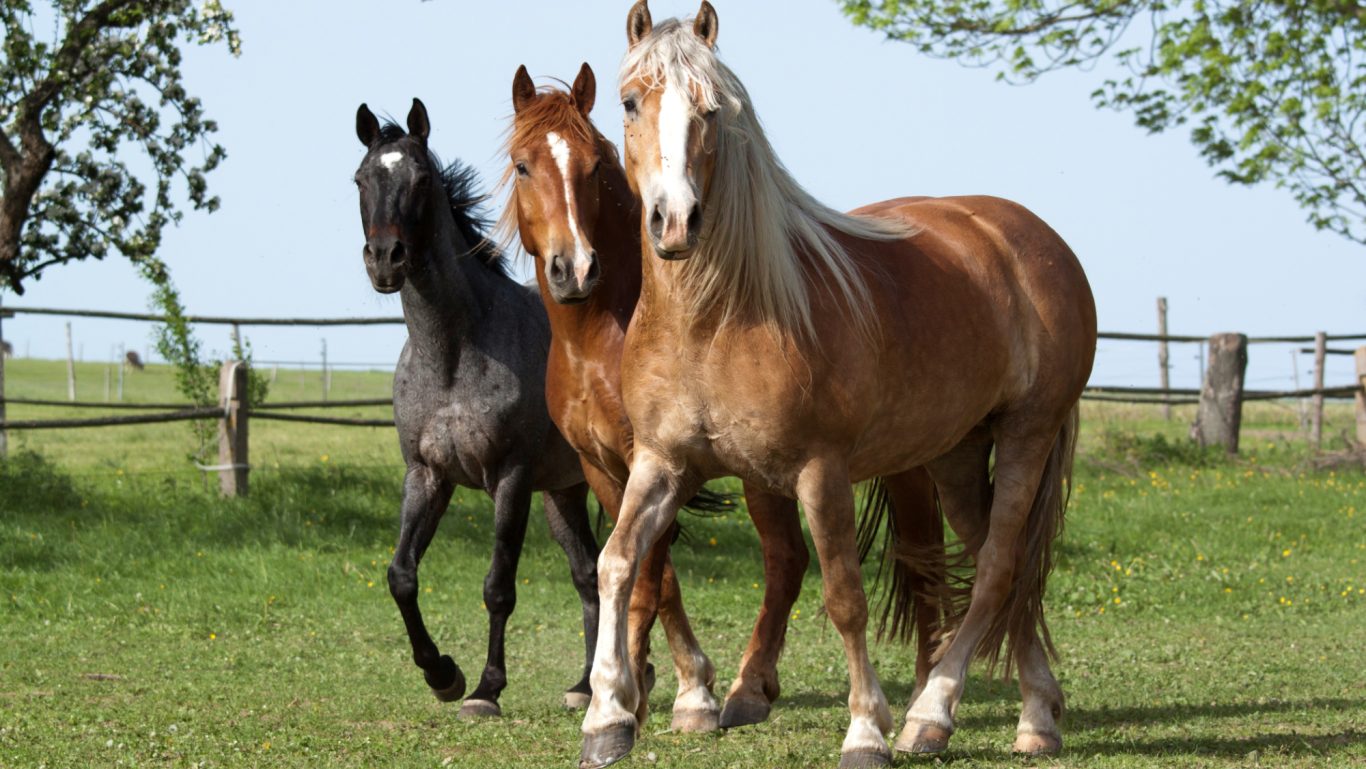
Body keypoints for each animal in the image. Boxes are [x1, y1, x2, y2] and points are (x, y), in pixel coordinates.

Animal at [353, 99, 602, 718]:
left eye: (421, 179)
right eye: (361, 179)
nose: (385, 260)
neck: (453, 355)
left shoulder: (509, 479)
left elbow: (498, 586)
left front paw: (487, 689)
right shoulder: (426, 475)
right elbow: (400, 574)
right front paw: (443, 674)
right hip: (564, 494)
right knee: (591, 573)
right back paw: (586, 685)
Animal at [503, 64, 955, 741]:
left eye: (594, 165)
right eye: (524, 165)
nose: (574, 269)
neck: (600, 337)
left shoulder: (653, 460)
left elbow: (654, 576)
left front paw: (677, 691)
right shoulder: (603, 467)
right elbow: (640, 571)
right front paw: (636, 689)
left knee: (895, 556)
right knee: (805, 559)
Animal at [577, 4, 1097, 768]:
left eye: (712, 108)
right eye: (630, 102)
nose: (675, 222)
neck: (715, 319)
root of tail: (1033, 240)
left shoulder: (821, 472)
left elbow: (845, 596)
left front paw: (866, 730)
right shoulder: (660, 464)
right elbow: (617, 563)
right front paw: (608, 716)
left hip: (1027, 433)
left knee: (999, 568)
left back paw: (930, 714)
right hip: (957, 453)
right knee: (993, 568)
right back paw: (1034, 714)